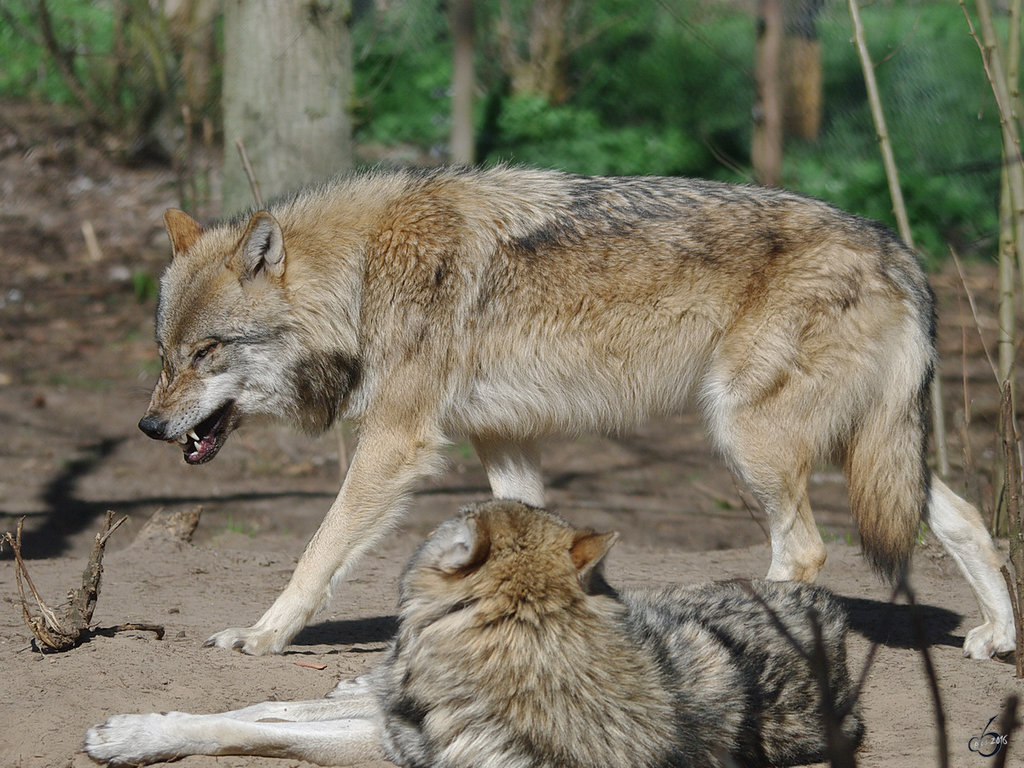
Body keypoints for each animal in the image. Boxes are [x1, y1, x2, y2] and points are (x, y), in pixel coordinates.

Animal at [140, 167, 1011, 663]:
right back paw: (999, 635)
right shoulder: (504, 441)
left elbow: (316, 555)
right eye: (165, 353)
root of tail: (900, 252)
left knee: (803, 551)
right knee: (963, 515)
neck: (359, 279)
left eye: (208, 351)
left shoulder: (394, 442)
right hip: (861, 451)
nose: (149, 429)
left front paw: (263, 635)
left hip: (750, 437)